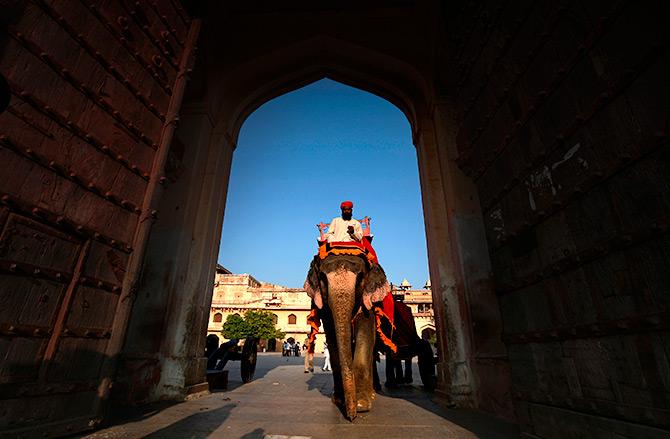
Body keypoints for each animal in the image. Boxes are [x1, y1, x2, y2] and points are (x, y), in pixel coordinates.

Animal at [304, 254, 388, 422]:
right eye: (322, 278)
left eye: (361, 277)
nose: (351, 417)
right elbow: (332, 340)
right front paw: (339, 400)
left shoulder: (367, 303)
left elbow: (365, 335)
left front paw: (361, 405)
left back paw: (372, 394)